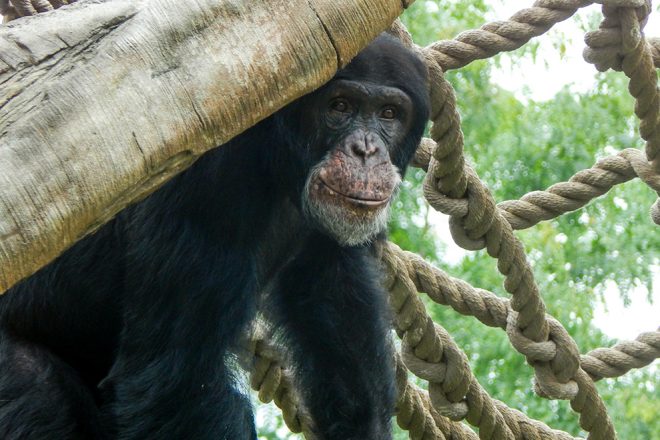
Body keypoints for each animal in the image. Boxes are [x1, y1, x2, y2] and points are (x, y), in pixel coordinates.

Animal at [0, 32, 428, 438]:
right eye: (339, 106)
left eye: (389, 113)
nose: (366, 150)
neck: (277, 155)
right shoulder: (208, 187)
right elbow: (183, 377)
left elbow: (332, 304)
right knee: (38, 389)